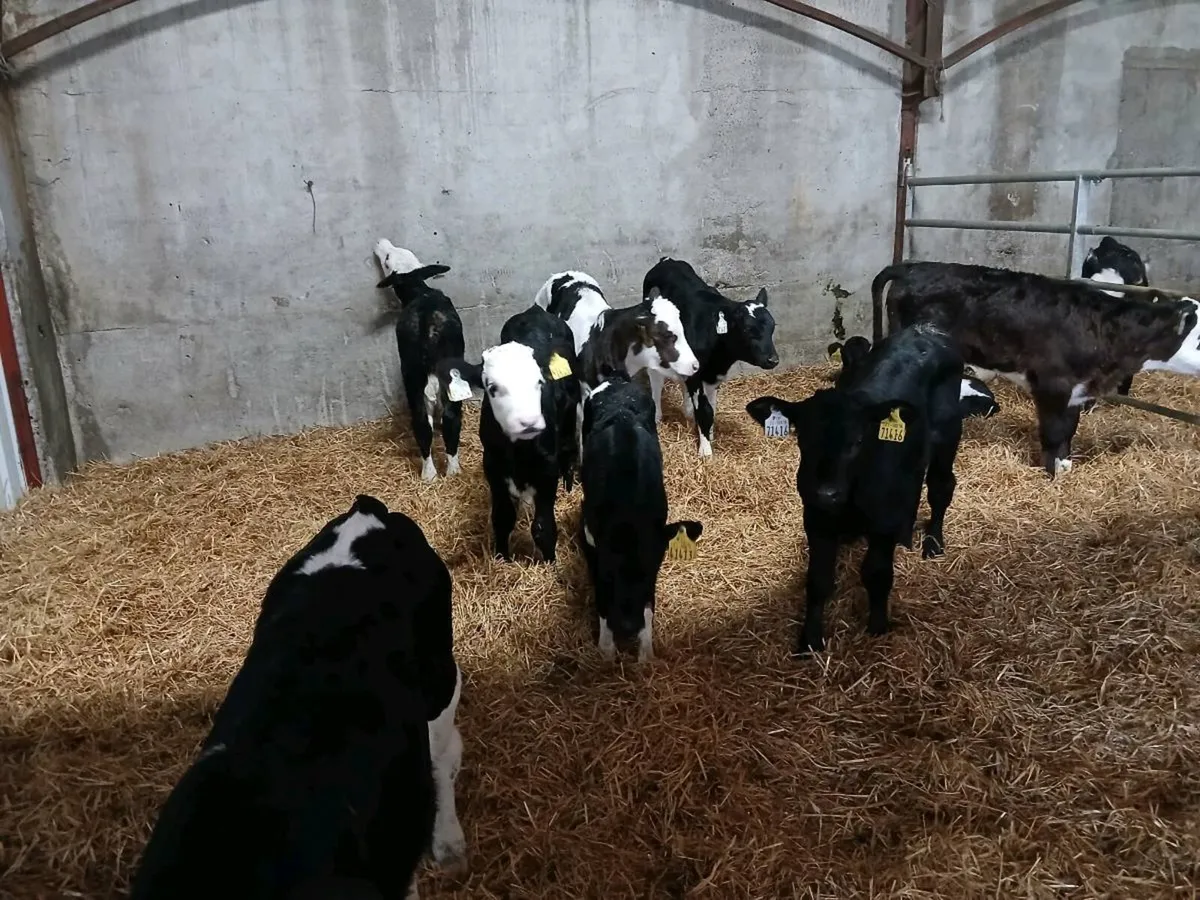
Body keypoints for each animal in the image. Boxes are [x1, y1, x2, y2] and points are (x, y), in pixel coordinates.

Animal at [373, 240, 472, 482]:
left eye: (386, 261)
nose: (380, 242)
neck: (419, 290)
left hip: (413, 376)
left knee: (423, 422)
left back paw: (432, 474)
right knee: (448, 418)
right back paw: (449, 471)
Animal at [578, 375, 703, 662]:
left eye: (652, 572)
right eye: (608, 574)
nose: (627, 627)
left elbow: (648, 606)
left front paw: (646, 653)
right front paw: (606, 648)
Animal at [642, 258, 779, 458]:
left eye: (772, 327)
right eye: (747, 329)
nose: (773, 360)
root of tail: (666, 260)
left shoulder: (713, 375)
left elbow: (711, 408)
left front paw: (709, 434)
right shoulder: (697, 375)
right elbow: (704, 410)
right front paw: (705, 450)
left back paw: (687, 411)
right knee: (656, 379)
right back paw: (657, 415)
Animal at [746, 325, 965, 655]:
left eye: (858, 441)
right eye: (803, 438)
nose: (826, 492)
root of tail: (925, 329)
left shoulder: (882, 521)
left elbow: (877, 573)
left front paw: (877, 627)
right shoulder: (816, 519)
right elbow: (818, 580)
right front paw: (809, 640)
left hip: (949, 434)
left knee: (941, 486)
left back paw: (933, 542)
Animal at [875, 260, 1200, 477]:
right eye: (1198, 340)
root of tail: (914, 267)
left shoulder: (1077, 391)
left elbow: (1068, 431)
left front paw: (1065, 468)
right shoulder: (1051, 386)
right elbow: (1053, 433)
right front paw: (1051, 474)